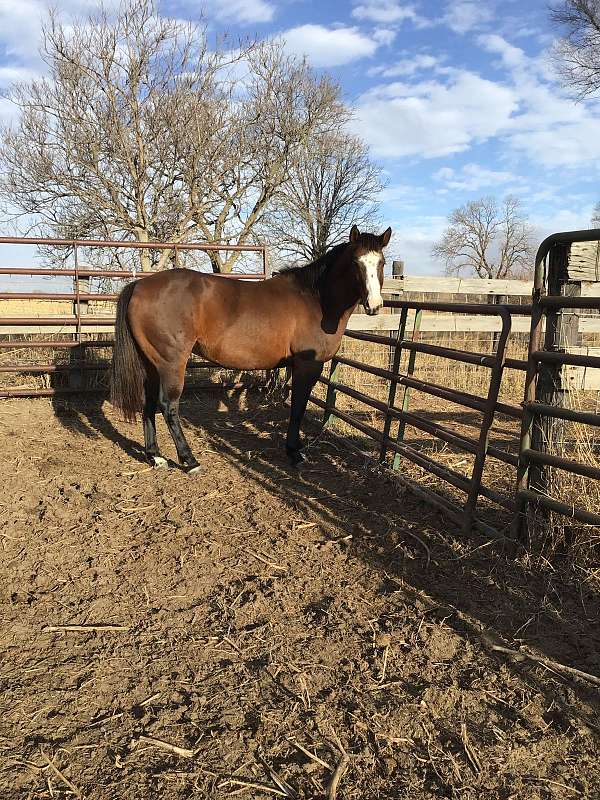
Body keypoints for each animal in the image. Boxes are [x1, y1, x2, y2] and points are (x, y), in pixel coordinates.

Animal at [109, 225, 392, 472]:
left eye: (381, 263)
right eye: (356, 263)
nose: (374, 305)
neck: (316, 299)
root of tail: (139, 285)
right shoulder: (307, 365)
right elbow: (298, 407)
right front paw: (294, 452)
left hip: (151, 364)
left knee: (148, 403)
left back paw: (155, 456)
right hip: (171, 363)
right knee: (168, 406)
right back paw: (189, 460)